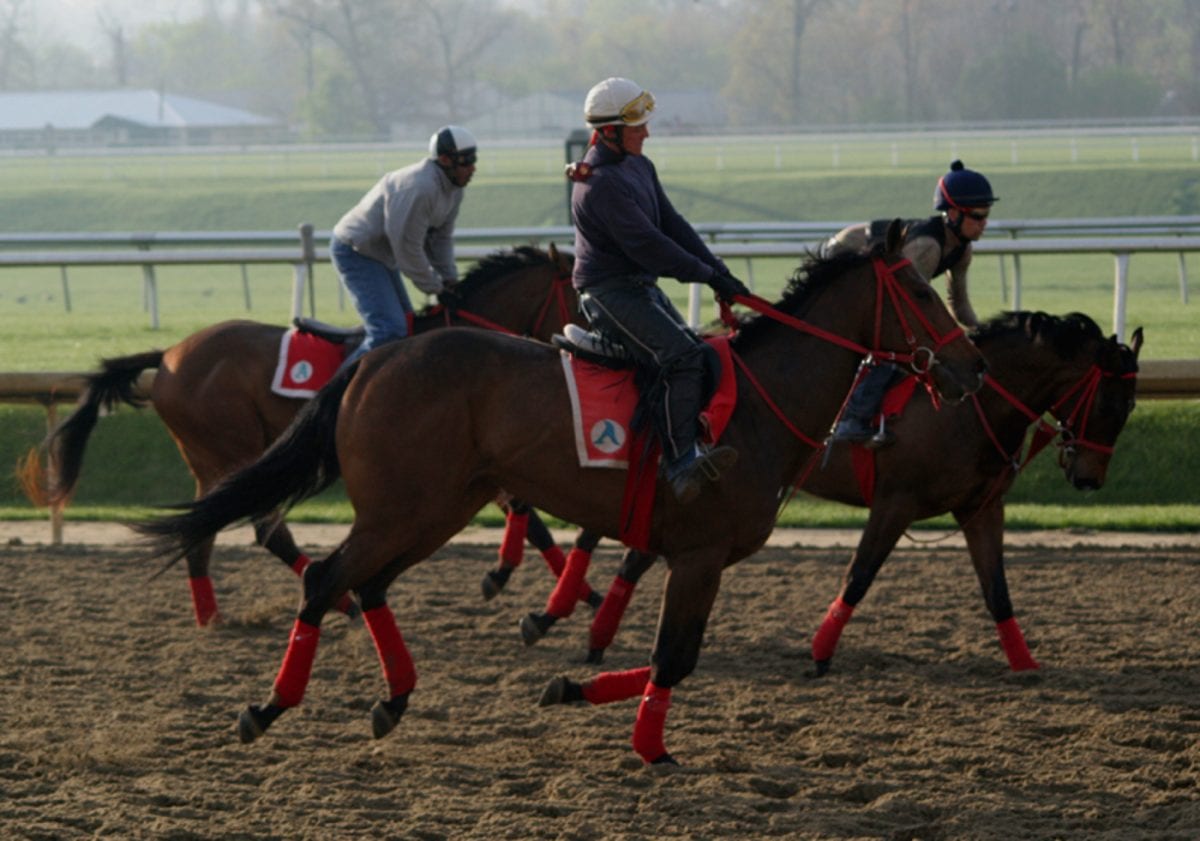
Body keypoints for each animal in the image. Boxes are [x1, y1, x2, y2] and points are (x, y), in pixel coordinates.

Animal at [21, 242, 578, 623]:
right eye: (577, 291)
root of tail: (170, 354)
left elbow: (527, 511)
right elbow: (528, 514)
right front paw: (539, 589)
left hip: (210, 457)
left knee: (211, 527)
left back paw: (217, 614)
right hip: (230, 448)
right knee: (264, 528)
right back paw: (333, 602)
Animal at [131, 221, 984, 763]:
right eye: (919, 288)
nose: (969, 366)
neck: (757, 403)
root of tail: (375, 360)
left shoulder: (684, 552)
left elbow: (674, 654)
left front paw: (568, 681)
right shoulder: (698, 554)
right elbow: (673, 657)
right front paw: (648, 744)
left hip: (435, 508)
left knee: (364, 582)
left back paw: (393, 696)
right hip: (399, 507)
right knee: (324, 576)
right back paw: (267, 704)